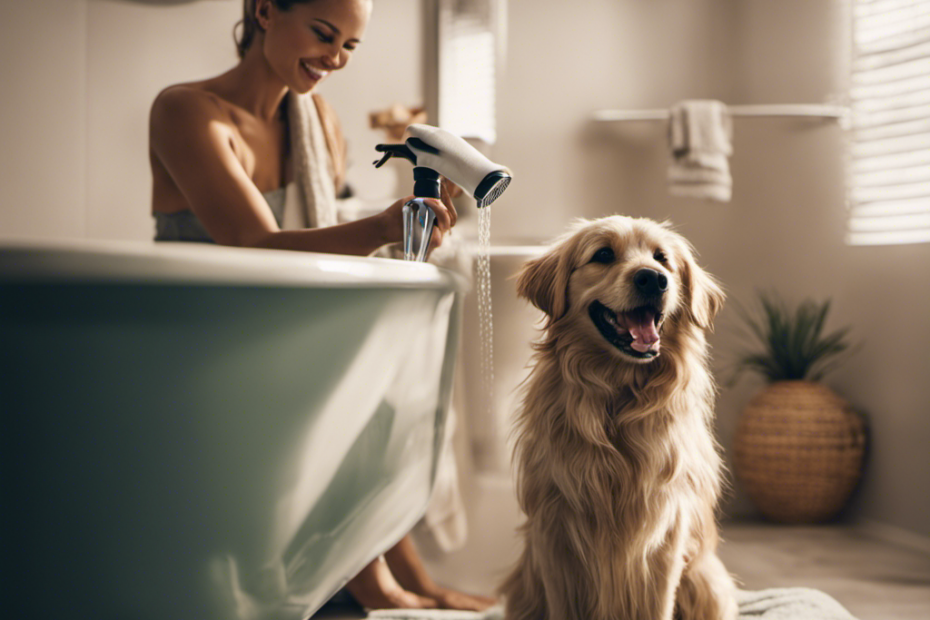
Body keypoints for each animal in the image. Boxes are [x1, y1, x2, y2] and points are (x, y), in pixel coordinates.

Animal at [496, 217, 736, 620]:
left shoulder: (664, 536)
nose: (653, 279)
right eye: (604, 255)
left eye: (662, 258)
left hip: (706, 584)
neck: (618, 399)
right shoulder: (554, 535)